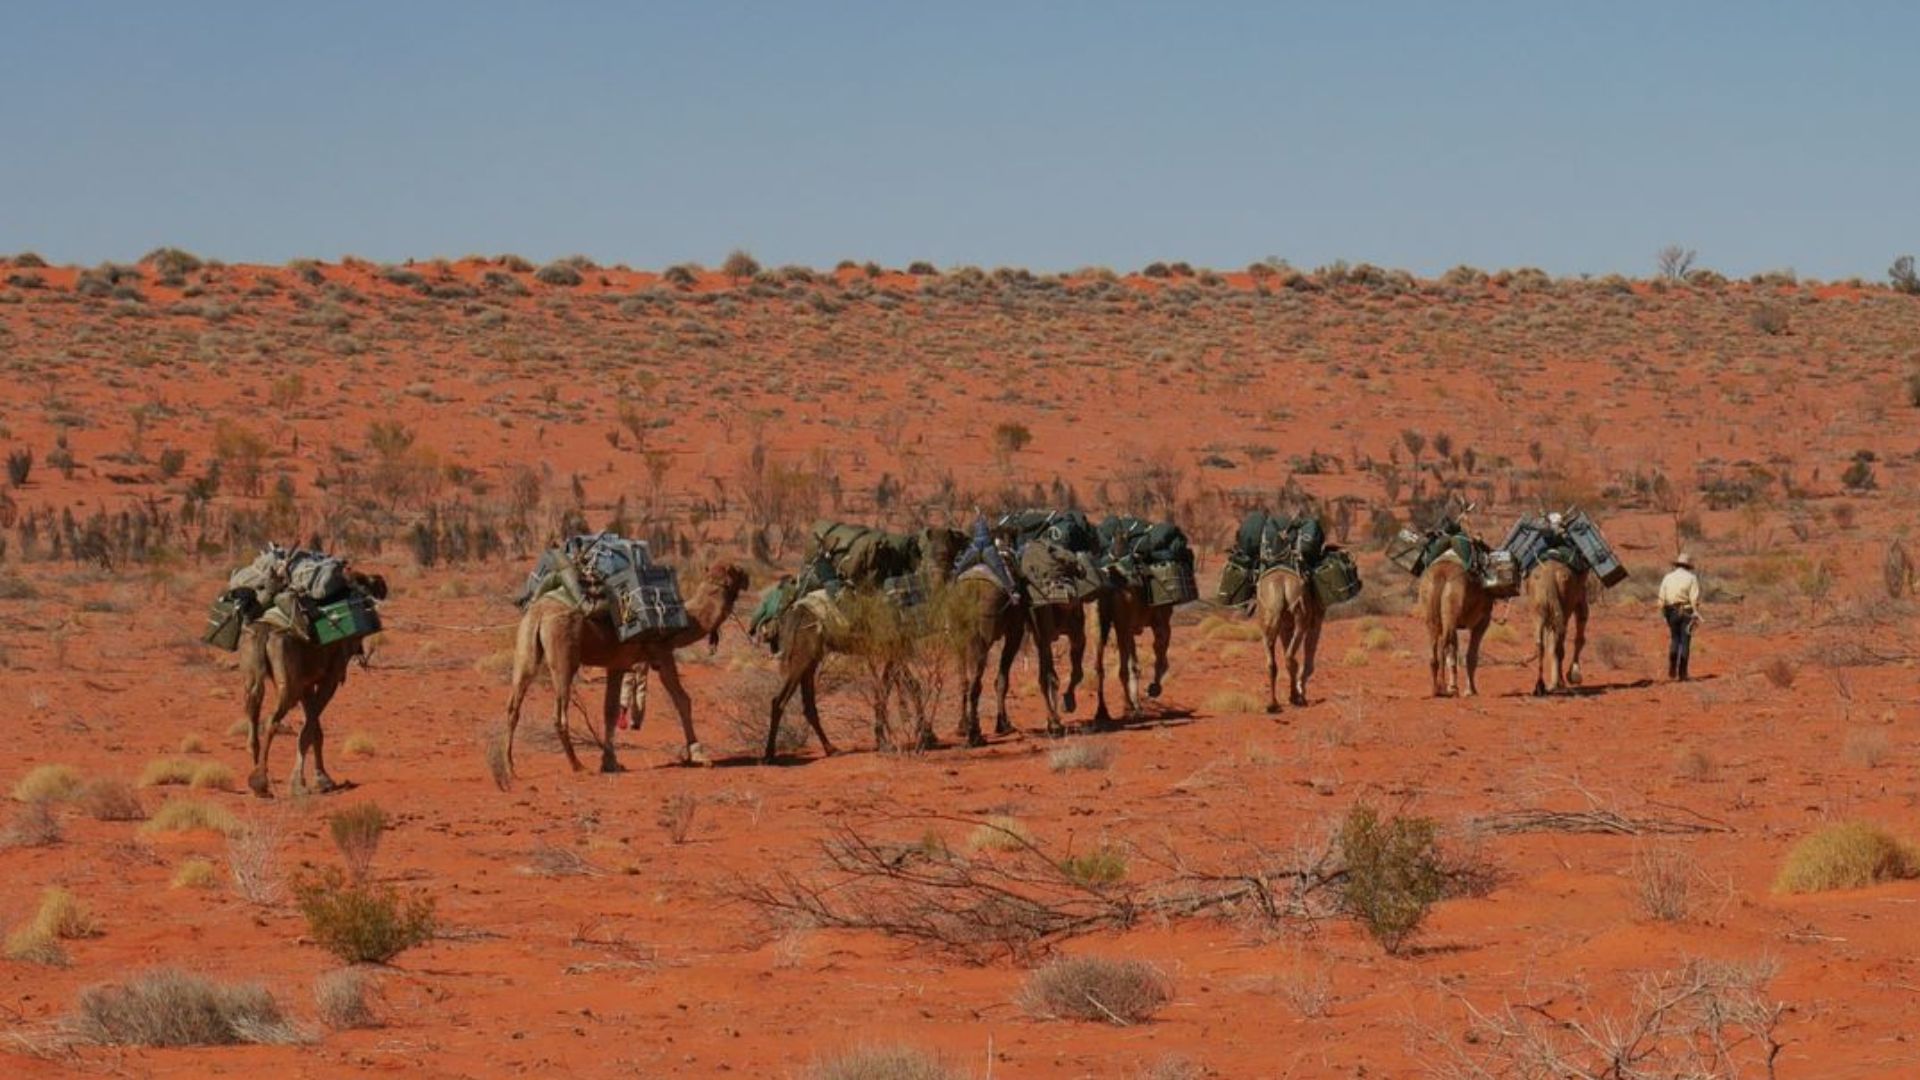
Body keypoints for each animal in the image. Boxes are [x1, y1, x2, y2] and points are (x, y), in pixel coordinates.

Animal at [241, 572, 387, 791]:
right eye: (368, 583)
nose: (382, 588)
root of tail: (266, 632)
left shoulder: (306, 684)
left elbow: (314, 727)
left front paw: (319, 777)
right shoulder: (330, 678)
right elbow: (310, 727)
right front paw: (306, 780)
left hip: (253, 666)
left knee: (252, 709)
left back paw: (257, 772)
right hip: (288, 684)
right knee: (271, 719)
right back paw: (260, 782)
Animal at [503, 557, 748, 776]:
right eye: (737, 571)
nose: (748, 577)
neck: (687, 620)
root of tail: (540, 613)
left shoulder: (617, 664)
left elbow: (610, 710)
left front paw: (610, 763)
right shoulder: (662, 653)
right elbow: (682, 700)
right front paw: (700, 755)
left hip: (526, 646)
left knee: (513, 705)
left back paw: (509, 768)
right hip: (563, 650)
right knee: (559, 712)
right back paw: (578, 766)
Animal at [1251, 564, 1328, 714]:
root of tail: (1280, 586)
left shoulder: (1285, 626)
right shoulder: (1316, 620)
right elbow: (1309, 662)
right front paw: (1301, 692)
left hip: (1267, 618)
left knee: (1272, 662)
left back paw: (1273, 704)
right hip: (1300, 618)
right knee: (1290, 657)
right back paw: (1296, 698)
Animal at [1420, 549, 1489, 691]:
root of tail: (1441, 573)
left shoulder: (1455, 624)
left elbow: (1454, 653)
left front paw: (1453, 687)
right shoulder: (1483, 620)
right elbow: (1471, 655)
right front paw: (1471, 690)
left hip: (1431, 607)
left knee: (1436, 647)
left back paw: (1436, 688)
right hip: (1451, 605)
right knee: (1443, 646)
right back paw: (1441, 687)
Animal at [1528, 549, 1589, 691]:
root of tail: (1549, 576)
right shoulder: (1580, 596)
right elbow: (1579, 635)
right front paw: (1574, 675)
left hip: (1539, 609)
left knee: (1541, 644)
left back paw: (1540, 685)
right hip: (1563, 607)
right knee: (1559, 645)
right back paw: (1558, 682)